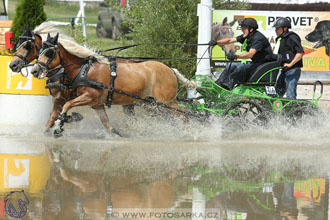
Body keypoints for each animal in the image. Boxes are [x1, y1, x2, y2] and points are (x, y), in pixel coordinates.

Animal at [31, 32, 188, 137]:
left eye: (49, 53)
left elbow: (67, 105)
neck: (84, 70)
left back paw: (186, 133)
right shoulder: (97, 104)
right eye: (39, 51)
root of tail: (170, 70)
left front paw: (60, 124)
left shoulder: (89, 96)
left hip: (166, 102)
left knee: (184, 115)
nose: (34, 70)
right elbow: (107, 124)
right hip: (152, 103)